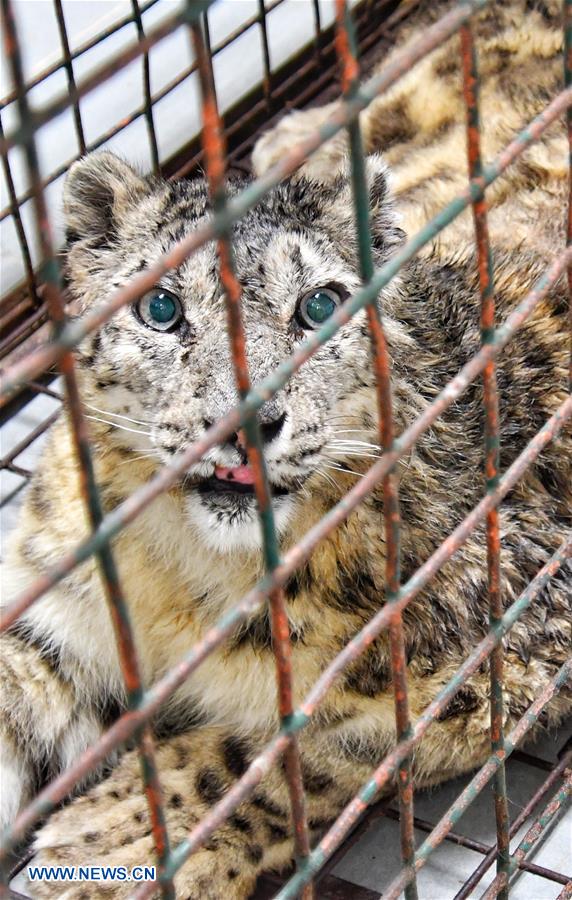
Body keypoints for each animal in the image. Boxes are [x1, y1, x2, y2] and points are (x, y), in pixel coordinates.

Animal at [1, 0, 570, 897]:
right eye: (161, 307)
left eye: (320, 304)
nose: (243, 421)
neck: (184, 581)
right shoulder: (55, 609)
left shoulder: (513, 637)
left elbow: (302, 747)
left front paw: (114, 840)